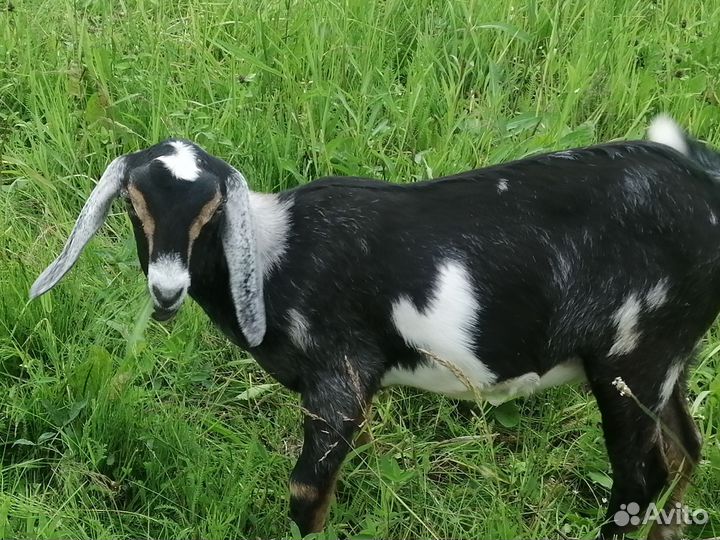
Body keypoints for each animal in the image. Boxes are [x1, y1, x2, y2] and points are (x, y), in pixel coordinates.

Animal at [30, 116, 716, 539]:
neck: (278, 255)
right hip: (668, 357)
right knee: (684, 452)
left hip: (633, 358)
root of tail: (703, 187)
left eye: (212, 212)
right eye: (134, 204)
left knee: (640, 478)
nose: (167, 290)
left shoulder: (340, 375)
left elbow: (307, 495)